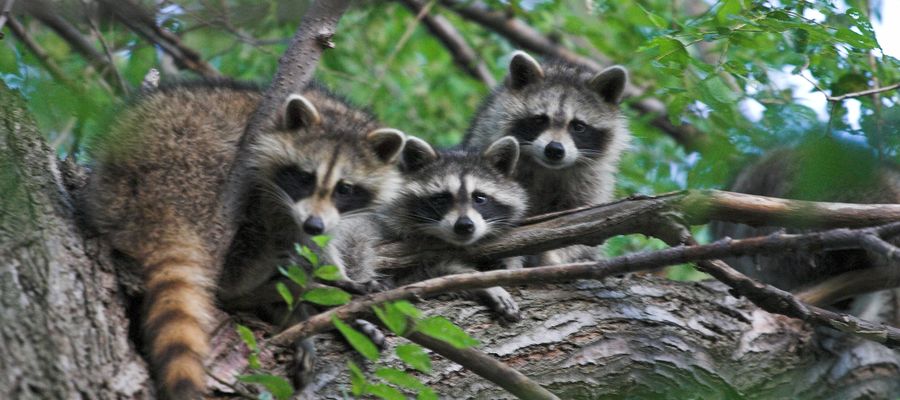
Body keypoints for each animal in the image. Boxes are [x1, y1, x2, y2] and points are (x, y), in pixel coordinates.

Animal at [81, 83, 404, 398]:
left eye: (344, 188)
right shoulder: (271, 180)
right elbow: (293, 230)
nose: (313, 224)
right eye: (305, 177)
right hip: (198, 161)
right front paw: (332, 284)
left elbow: (321, 243)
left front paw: (340, 285)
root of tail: (153, 198)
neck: (336, 112)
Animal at [460, 52, 628, 266]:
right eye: (540, 119)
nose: (555, 150)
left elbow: (584, 219)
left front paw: (555, 256)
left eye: (578, 126)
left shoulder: (591, 181)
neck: (548, 169)